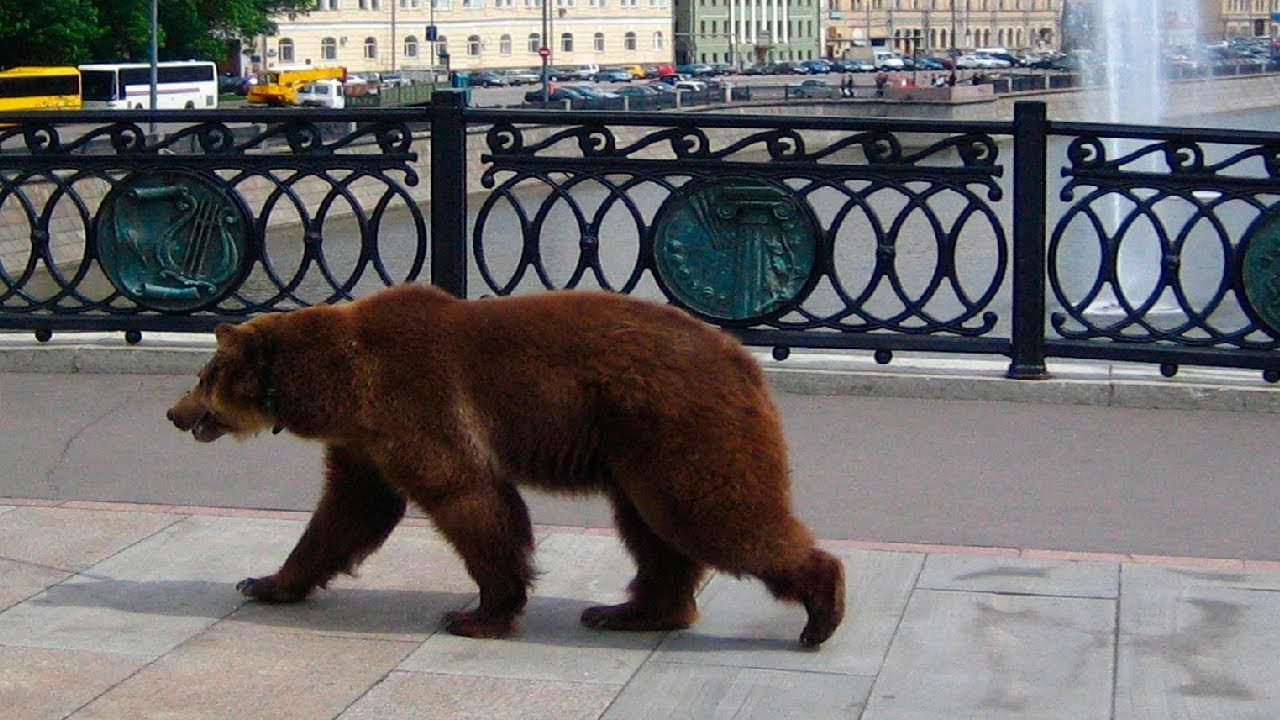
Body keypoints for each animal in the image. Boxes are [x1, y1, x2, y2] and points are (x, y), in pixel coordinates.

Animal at [165, 284, 844, 645]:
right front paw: (266, 581)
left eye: (204, 374)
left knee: (714, 515)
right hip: (640, 455)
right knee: (655, 535)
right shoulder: (364, 441)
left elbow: (469, 500)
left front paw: (477, 612)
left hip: (678, 428)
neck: (337, 383)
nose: (174, 413)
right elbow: (347, 512)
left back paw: (821, 611)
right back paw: (630, 611)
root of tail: (742, 357)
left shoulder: (414, 399)